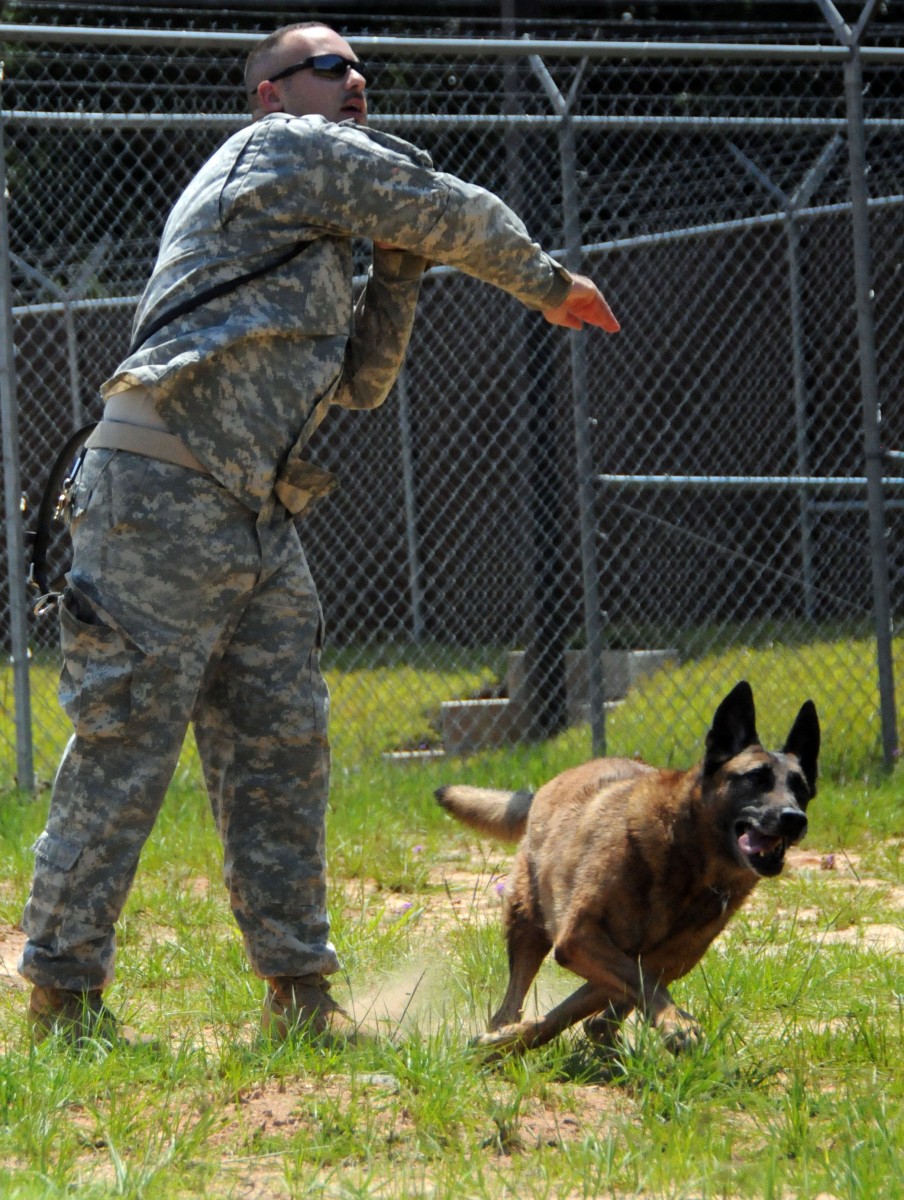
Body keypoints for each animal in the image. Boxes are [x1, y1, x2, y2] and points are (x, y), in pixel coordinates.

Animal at [434, 681, 816, 1056]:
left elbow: (581, 1008)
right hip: (526, 922)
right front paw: (676, 1024)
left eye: (800, 789)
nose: (794, 819)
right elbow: (639, 983)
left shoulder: (663, 962)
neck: (688, 856)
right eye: (755, 779)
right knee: (510, 1002)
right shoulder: (579, 938)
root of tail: (546, 787)